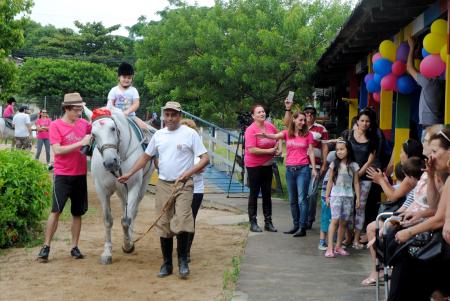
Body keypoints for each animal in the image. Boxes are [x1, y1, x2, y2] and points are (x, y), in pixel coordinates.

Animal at [84, 106, 155, 264]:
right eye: (93, 134)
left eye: (112, 128)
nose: (110, 162)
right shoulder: (102, 190)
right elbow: (108, 220)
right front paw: (107, 253)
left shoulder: (134, 187)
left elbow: (127, 219)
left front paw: (128, 245)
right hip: (121, 191)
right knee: (124, 207)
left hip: (142, 186)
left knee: (132, 213)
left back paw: (130, 238)